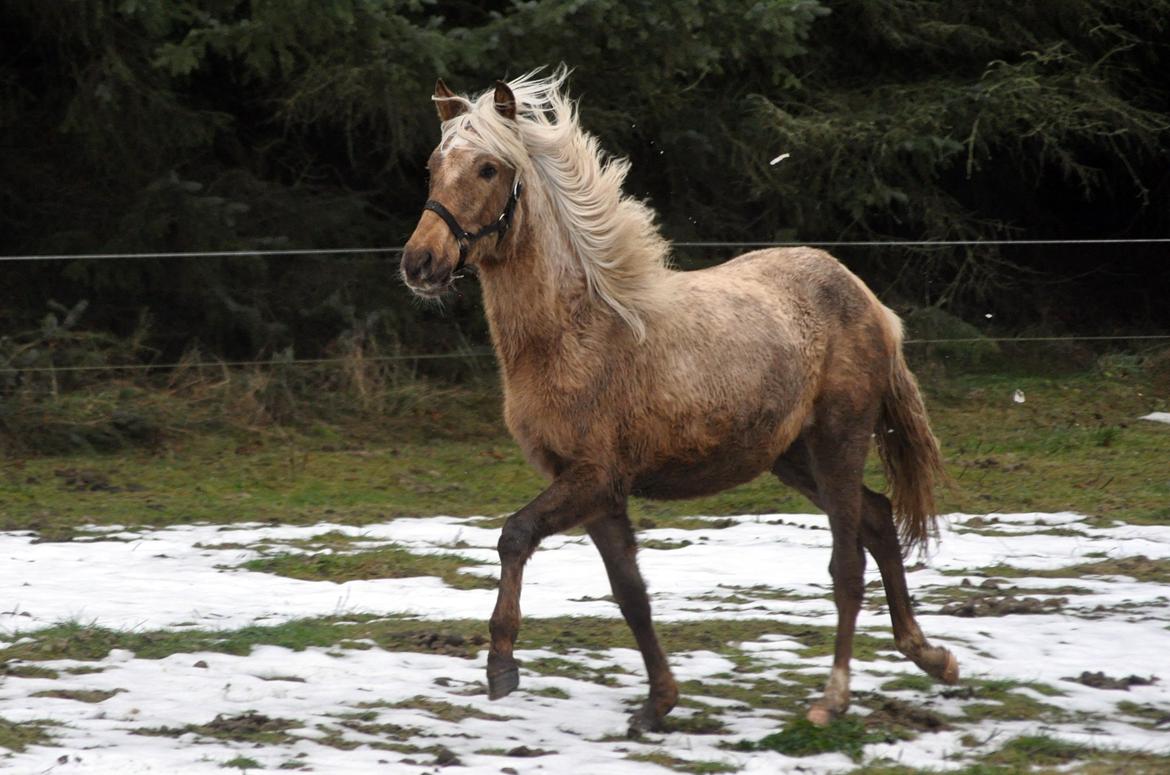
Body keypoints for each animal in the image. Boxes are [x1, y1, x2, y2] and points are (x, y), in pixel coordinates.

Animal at [402, 71, 959, 735]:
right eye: (435, 165)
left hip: (837, 443)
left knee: (848, 567)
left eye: (488, 168)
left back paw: (834, 698)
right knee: (878, 519)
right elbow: (631, 593)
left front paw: (501, 665)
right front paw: (658, 702)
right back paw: (931, 657)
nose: (420, 263)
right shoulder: (593, 489)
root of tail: (869, 301)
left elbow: (515, 535)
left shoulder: (593, 477)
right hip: (792, 457)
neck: (579, 331)